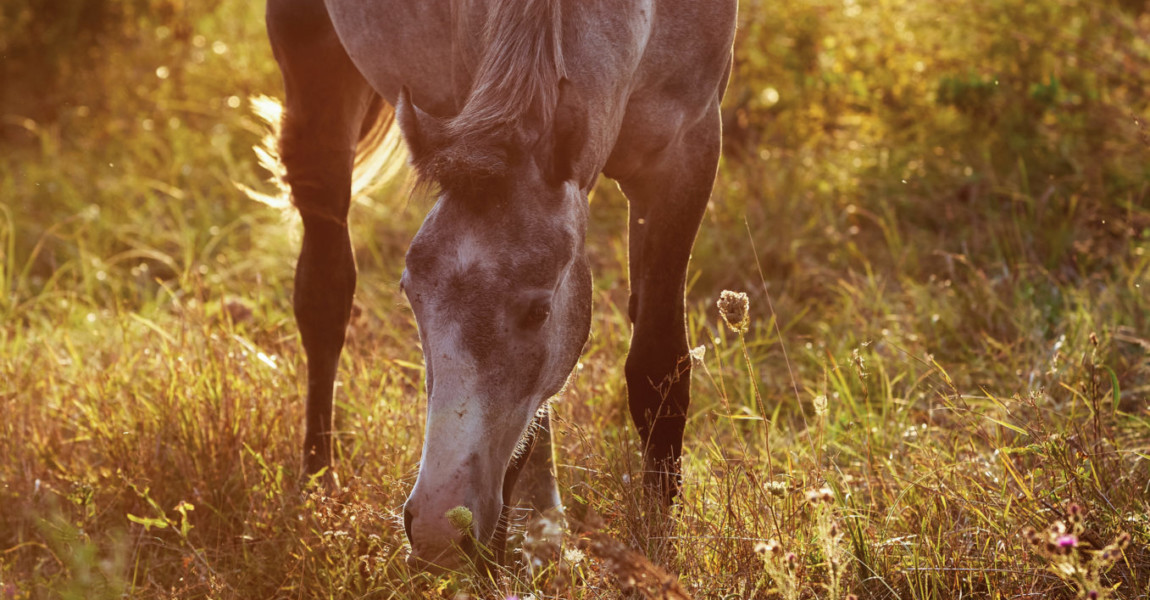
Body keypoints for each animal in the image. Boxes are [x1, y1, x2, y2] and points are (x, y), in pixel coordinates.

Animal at [263, 0, 736, 565]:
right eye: (410, 296)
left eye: (538, 311)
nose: (438, 528)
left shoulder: (686, 154)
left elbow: (658, 369)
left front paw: (658, 544)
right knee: (325, 297)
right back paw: (319, 485)